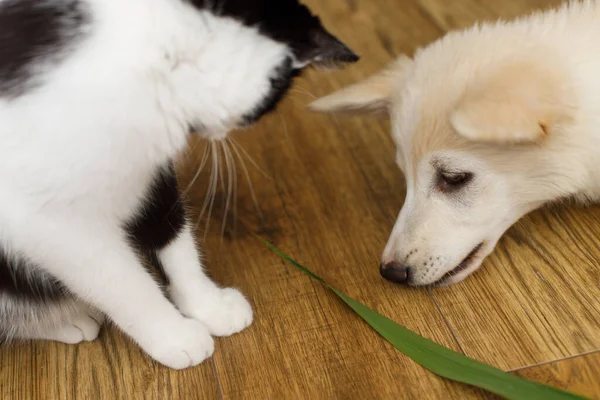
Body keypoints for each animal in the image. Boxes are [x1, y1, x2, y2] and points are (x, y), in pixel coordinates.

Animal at [0, 0, 356, 368]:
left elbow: (172, 233)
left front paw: (208, 305)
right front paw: (173, 335)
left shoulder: (153, 176)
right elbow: (121, 280)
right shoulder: (50, 225)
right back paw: (63, 320)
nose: (222, 134)